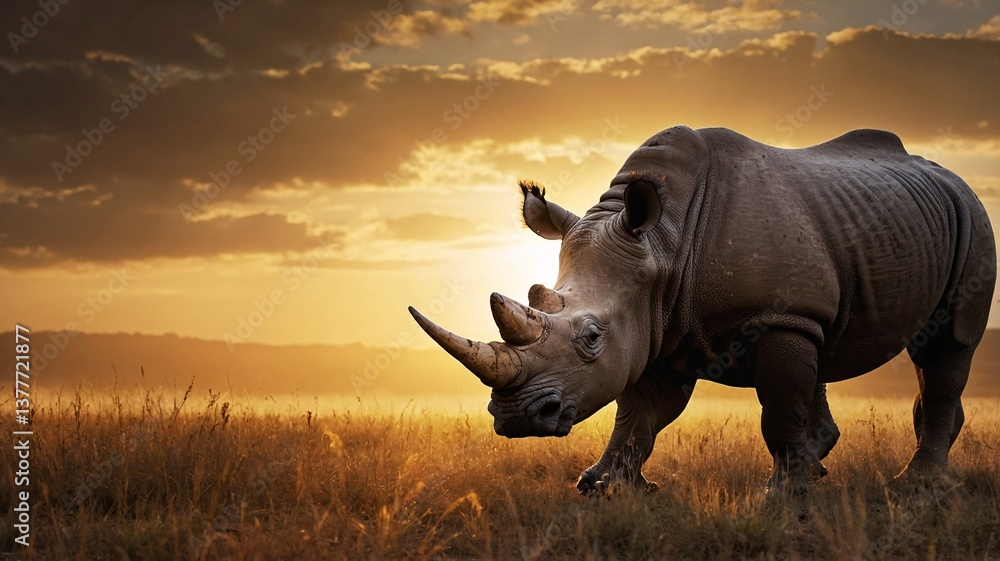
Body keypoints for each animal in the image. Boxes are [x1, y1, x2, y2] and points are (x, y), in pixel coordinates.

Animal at [408, 126, 997, 492]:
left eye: (592, 338)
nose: (514, 418)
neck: (663, 245)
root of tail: (946, 174)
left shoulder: (775, 317)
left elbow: (777, 406)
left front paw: (783, 497)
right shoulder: (655, 324)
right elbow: (638, 415)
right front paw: (602, 485)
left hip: (973, 214)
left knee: (948, 345)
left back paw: (918, 485)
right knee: (827, 347)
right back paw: (824, 467)